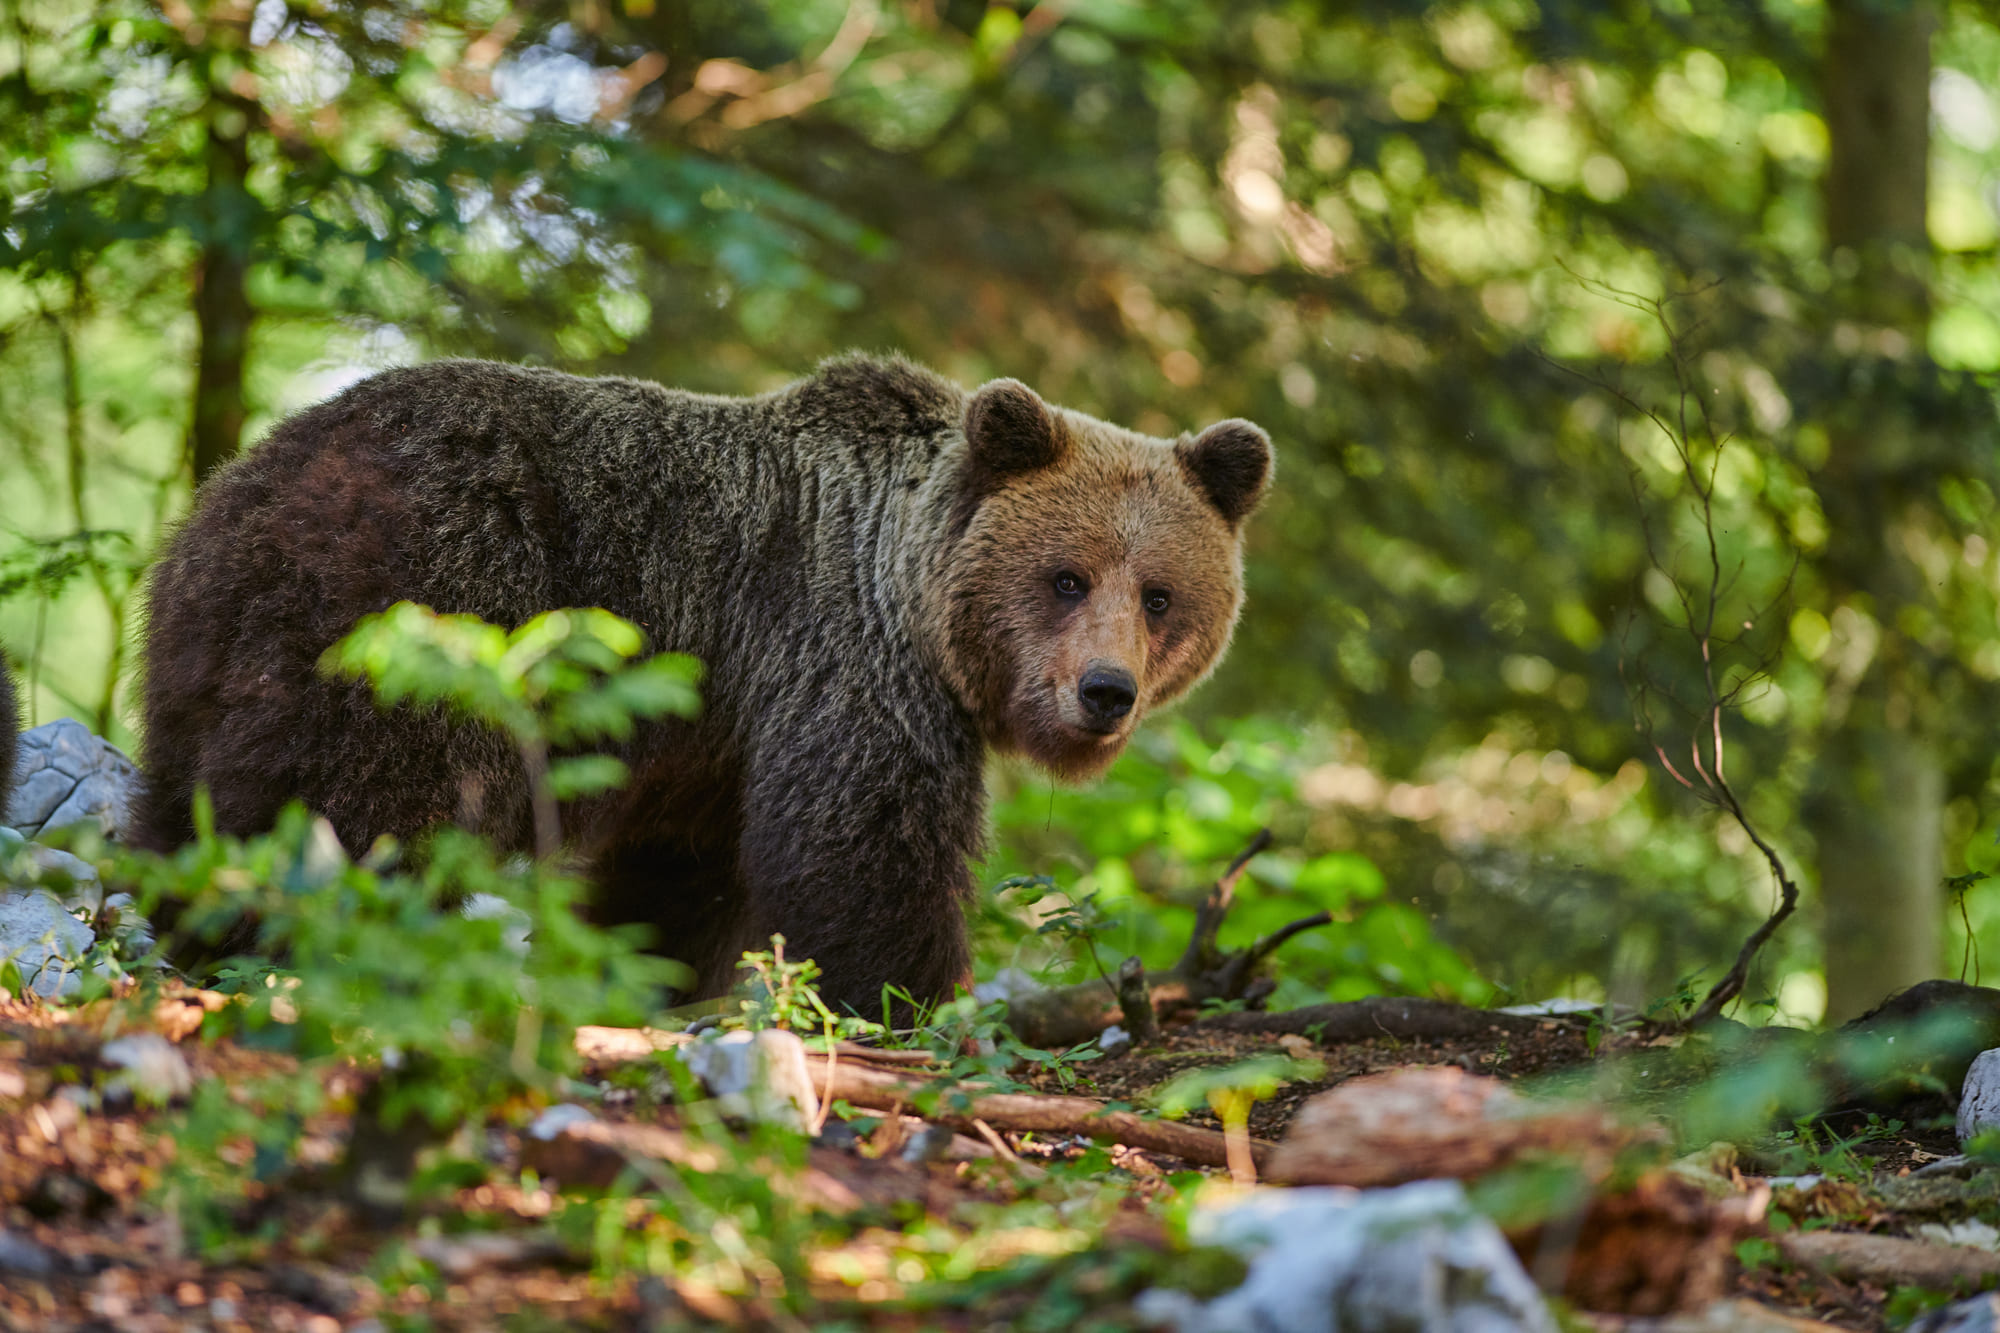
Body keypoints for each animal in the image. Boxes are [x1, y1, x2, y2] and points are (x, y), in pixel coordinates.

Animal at [132, 355, 1272, 1013]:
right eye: (1065, 575)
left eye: (1161, 594)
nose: (1105, 691)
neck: (907, 589)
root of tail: (251, 482)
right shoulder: (841, 660)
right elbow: (862, 854)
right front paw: (913, 1000)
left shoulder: (717, 733)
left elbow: (686, 875)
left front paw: (641, 975)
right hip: (425, 607)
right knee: (353, 804)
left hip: (219, 642)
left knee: (197, 789)